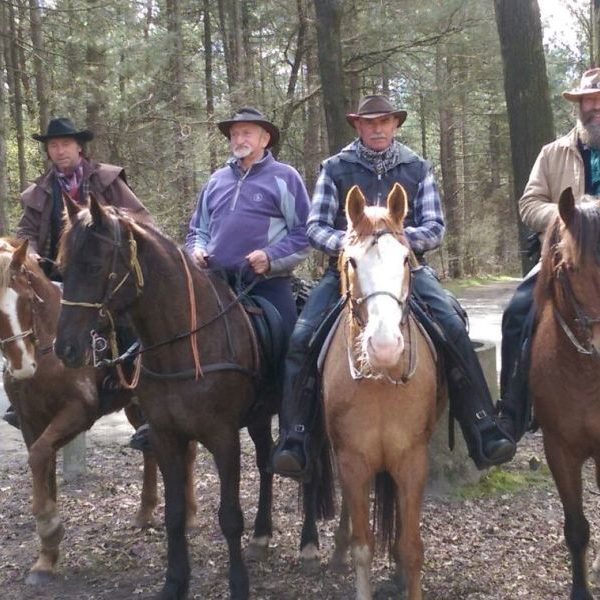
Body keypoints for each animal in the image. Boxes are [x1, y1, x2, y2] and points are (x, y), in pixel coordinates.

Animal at [0, 238, 199, 584]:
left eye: (26, 299)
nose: (22, 366)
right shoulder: (30, 422)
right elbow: (43, 465)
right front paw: (46, 557)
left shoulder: (78, 412)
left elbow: (39, 456)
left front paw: (50, 526)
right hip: (135, 406)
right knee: (150, 450)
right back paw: (145, 511)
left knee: (184, 451)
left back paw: (187, 514)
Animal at [54, 199, 336, 596]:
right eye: (62, 267)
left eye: (95, 266)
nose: (64, 347)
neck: (185, 346)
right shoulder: (166, 436)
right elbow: (173, 515)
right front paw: (175, 583)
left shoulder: (222, 437)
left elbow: (230, 517)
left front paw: (238, 586)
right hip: (259, 416)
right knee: (266, 463)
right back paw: (261, 537)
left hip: (306, 418)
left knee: (306, 469)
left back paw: (309, 546)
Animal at [324, 184, 446, 600]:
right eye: (352, 262)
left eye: (406, 260)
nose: (385, 347)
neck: (380, 383)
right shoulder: (351, 462)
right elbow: (363, 546)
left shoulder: (412, 461)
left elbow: (411, 548)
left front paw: (402, 567)